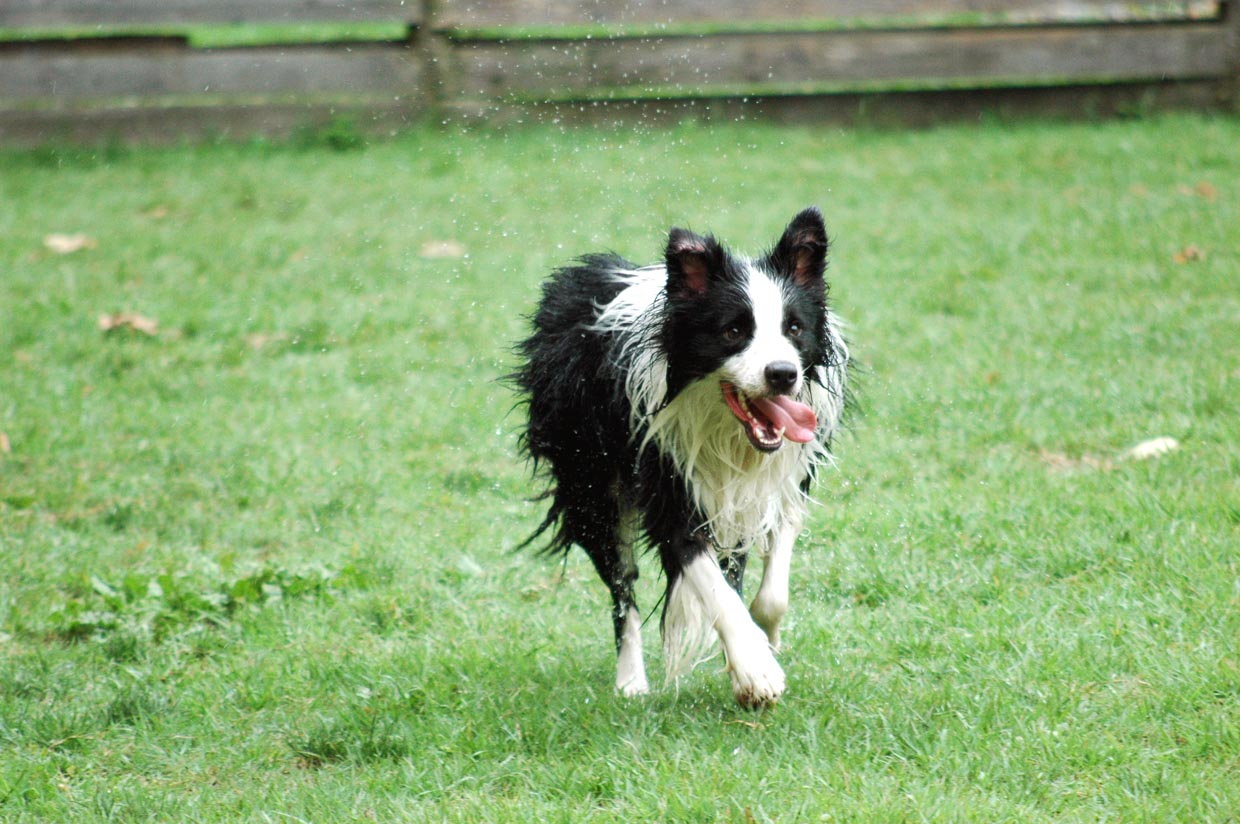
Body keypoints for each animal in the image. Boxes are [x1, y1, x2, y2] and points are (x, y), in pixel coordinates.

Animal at [510, 206, 843, 708]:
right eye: (734, 331)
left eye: (794, 328)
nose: (783, 374)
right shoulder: (667, 480)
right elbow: (706, 577)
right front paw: (755, 672)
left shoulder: (780, 481)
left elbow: (768, 586)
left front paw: (760, 644)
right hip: (591, 482)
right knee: (622, 588)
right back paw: (631, 680)